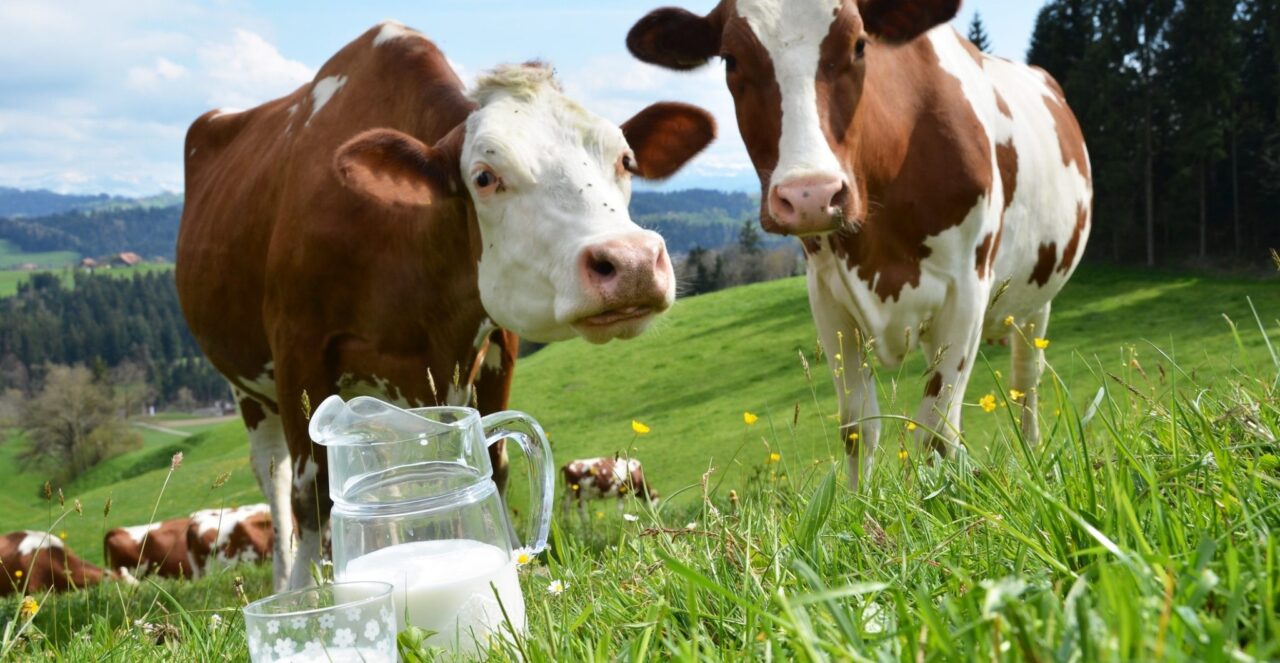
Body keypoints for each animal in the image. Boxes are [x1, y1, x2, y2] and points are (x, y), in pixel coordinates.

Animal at [177, 21, 716, 589]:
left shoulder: (497, 343)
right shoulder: (298, 346)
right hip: (249, 390)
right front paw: (306, 593)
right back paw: (285, 578)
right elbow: (310, 497)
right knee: (275, 480)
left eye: (626, 160)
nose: (632, 261)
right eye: (484, 176)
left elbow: (494, 463)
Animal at [627, 0, 1092, 488]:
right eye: (731, 59)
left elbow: (936, 428)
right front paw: (859, 499)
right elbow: (857, 425)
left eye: (859, 44)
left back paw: (1033, 448)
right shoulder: (827, 295)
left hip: (1036, 300)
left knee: (1027, 379)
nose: (810, 195)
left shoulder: (968, 286)